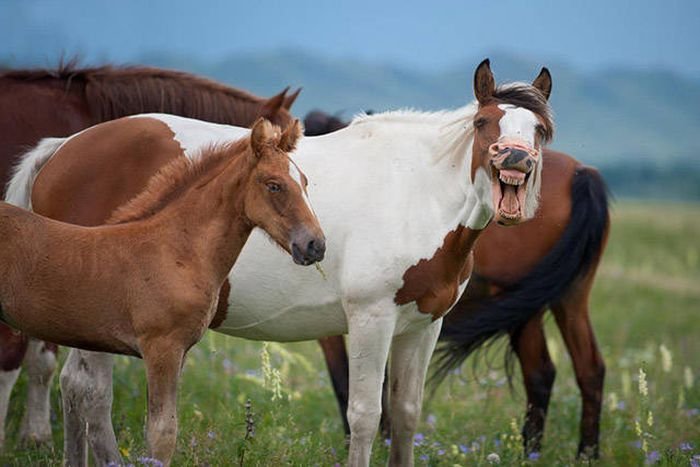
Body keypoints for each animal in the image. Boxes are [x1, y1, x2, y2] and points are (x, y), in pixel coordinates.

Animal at [304, 111, 608, 458]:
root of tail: (582, 174)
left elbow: (345, 381)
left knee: (543, 372)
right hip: (566, 299)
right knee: (583, 369)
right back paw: (576, 454)